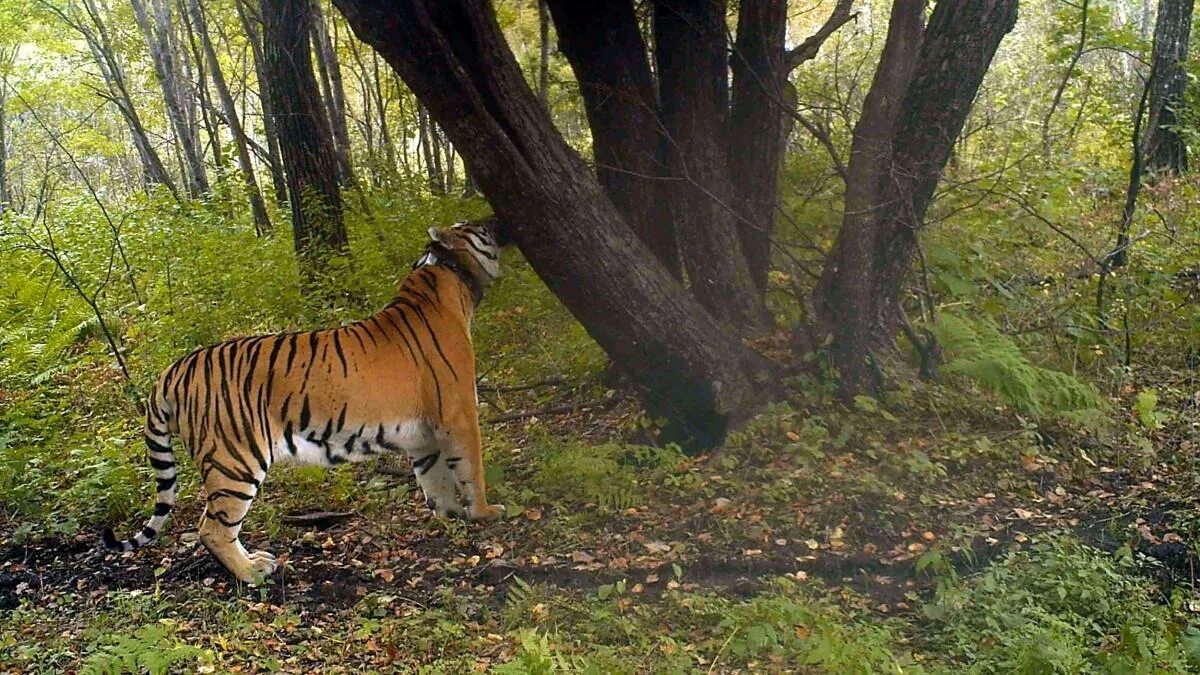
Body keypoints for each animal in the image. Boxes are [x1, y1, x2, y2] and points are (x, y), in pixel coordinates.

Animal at [102, 218, 511, 581]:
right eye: (478, 225)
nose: (496, 218)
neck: (446, 280)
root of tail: (172, 370)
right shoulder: (458, 414)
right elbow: (471, 468)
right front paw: (486, 512)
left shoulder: (422, 436)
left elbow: (435, 479)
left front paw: (451, 517)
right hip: (234, 461)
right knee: (212, 528)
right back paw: (253, 573)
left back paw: (255, 560)